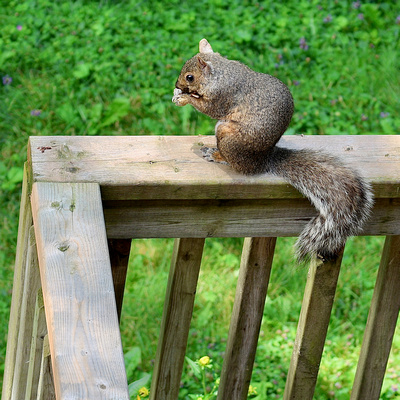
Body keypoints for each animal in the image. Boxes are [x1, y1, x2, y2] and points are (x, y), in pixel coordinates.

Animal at [173, 37, 376, 262]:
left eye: (190, 77)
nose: (177, 85)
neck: (221, 73)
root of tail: (264, 160)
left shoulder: (222, 96)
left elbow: (209, 108)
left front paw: (184, 98)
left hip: (226, 134)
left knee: (234, 162)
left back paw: (216, 154)